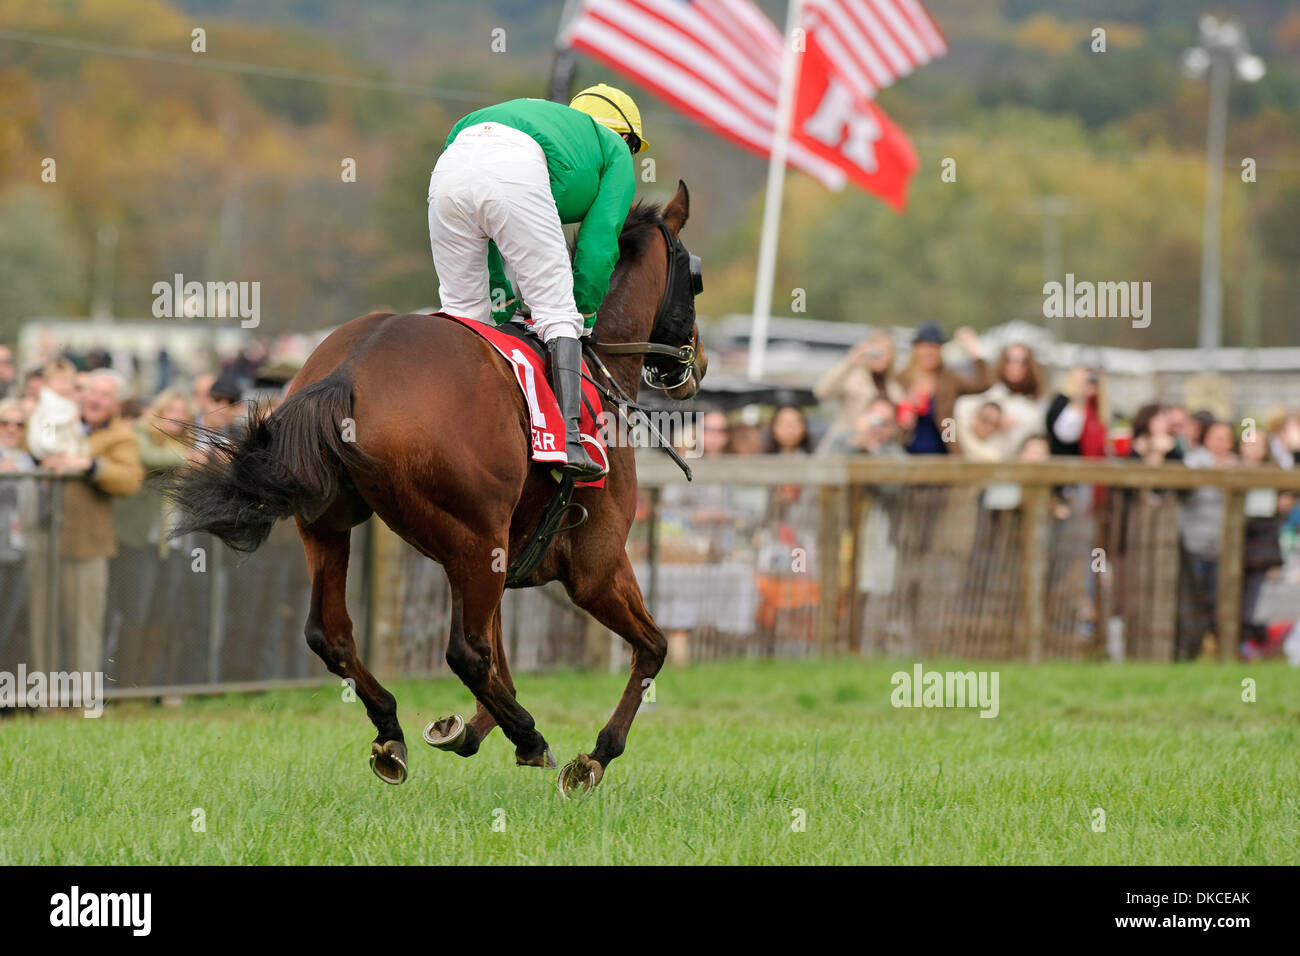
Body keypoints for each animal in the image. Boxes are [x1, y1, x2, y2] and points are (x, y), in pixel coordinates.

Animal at [174, 183, 712, 796]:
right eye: (694, 278)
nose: (698, 363)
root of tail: (348, 371)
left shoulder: (506, 558)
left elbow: (505, 656)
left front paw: (471, 727)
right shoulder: (595, 564)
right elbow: (652, 648)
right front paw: (593, 756)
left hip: (336, 526)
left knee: (332, 634)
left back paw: (392, 730)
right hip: (477, 539)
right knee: (464, 651)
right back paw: (529, 737)